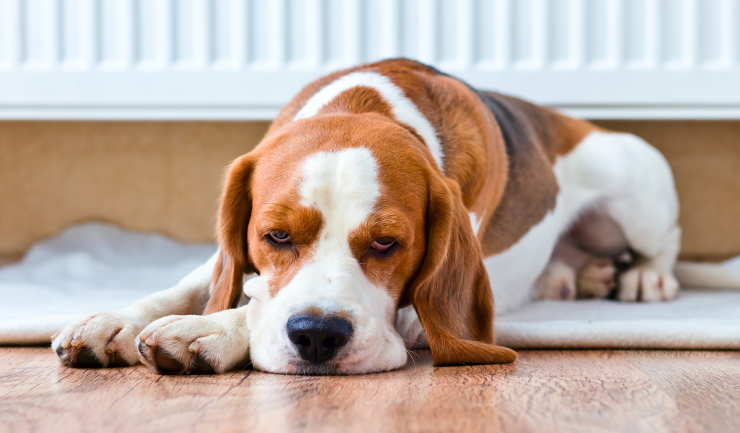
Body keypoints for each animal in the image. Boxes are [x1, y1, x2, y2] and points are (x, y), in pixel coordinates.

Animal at [55, 59, 684, 372]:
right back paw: (577, 275)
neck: (360, 108)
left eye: (387, 244)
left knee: (665, 242)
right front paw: (117, 321)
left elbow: (252, 308)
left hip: (636, 186)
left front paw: (209, 329)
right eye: (275, 236)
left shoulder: (412, 315)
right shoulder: (228, 255)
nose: (317, 337)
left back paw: (643, 277)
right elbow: (196, 285)